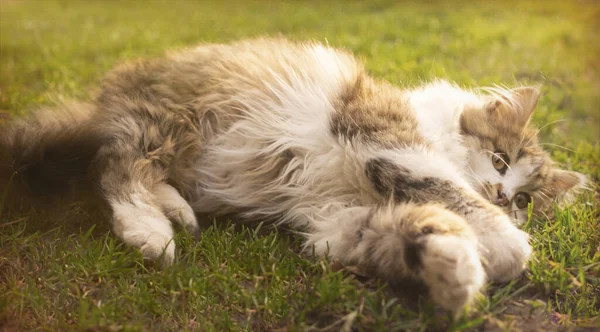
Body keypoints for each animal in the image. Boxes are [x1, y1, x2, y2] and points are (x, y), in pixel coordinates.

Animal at [0, 37, 584, 312]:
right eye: (502, 160)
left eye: (526, 200)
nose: (504, 195)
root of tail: (105, 97)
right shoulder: (385, 140)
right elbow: (450, 190)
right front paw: (506, 247)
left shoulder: (337, 222)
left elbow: (412, 230)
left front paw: (453, 271)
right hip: (163, 124)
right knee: (116, 169)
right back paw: (150, 234)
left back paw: (179, 212)